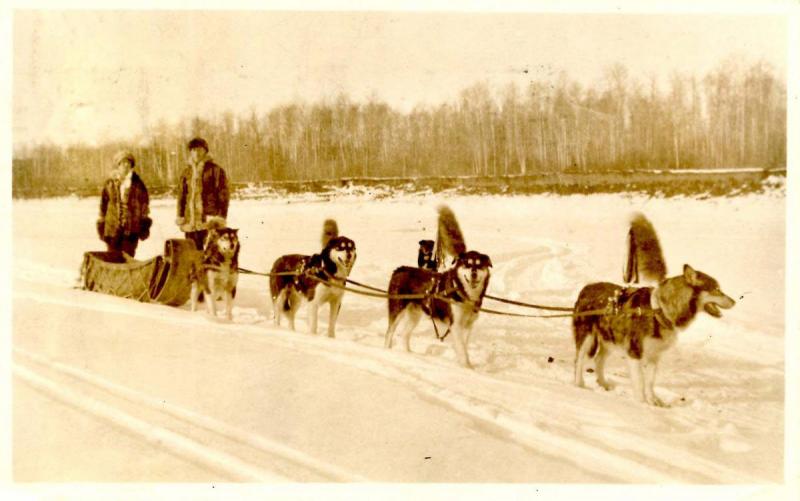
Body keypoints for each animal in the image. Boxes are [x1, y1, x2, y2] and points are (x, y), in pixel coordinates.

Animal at [384, 206, 490, 368]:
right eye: (467, 264)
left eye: (479, 265)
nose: (473, 273)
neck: (463, 292)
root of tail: (400, 269)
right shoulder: (455, 325)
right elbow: (462, 350)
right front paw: (467, 367)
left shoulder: (467, 325)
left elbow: (463, 348)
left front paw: (462, 364)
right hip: (397, 310)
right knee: (389, 333)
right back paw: (387, 352)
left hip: (415, 314)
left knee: (405, 334)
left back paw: (408, 355)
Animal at [572, 214, 736, 406]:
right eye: (717, 289)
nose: (734, 301)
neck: (659, 311)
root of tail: (586, 288)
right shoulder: (634, 353)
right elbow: (640, 382)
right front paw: (642, 404)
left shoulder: (654, 356)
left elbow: (649, 382)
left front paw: (654, 402)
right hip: (587, 338)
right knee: (579, 361)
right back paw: (579, 385)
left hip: (610, 339)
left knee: (599, 359)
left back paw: (603, 383)